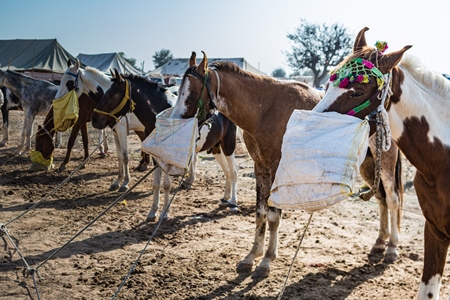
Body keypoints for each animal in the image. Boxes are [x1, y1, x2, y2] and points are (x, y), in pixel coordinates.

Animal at [50, 60, 148, 192]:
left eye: (69, 82)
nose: (56, 100)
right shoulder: (115, 131)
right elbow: (119, 156)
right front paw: (118, 182)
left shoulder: (122, 131)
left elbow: (125, 156)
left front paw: (125, 183)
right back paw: (142, 164)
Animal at [91, 68, 239, 220]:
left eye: (111, 94)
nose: (94, 119)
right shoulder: (157, 157)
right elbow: (156, 184)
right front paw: (152, 212)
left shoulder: (168, 159)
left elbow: (166, 185)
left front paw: (164, 213)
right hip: (216, 149)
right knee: (227, 172)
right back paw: (225, 198)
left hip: (228, 146)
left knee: (233, 172)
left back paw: (233, 203)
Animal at [168, 51, 404, 278]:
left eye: (190, 95)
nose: (175, 121)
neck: (265, 110)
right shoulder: (261, 167)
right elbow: (260, 213)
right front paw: (252, 256)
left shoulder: (275, 169)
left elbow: (273, 216)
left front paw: (266, 261)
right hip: (369, 166)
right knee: (381, 199)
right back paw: (379, 243)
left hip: (385, 165)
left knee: (393, 199)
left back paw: (392, 247)